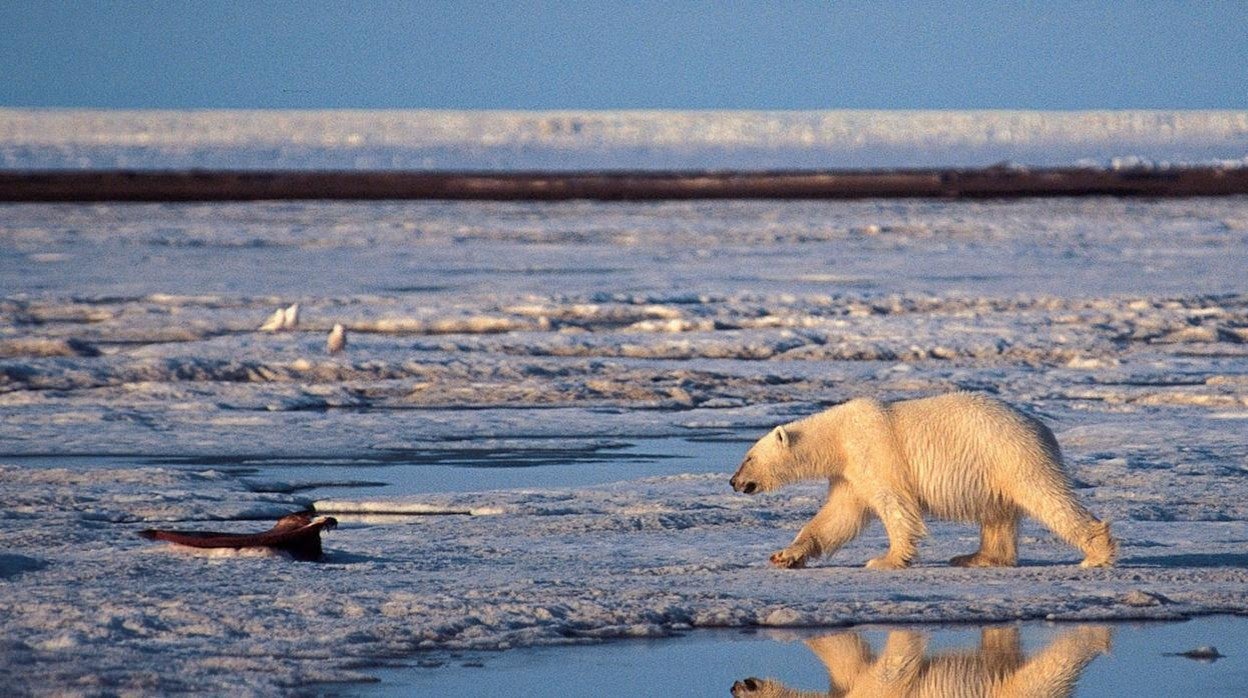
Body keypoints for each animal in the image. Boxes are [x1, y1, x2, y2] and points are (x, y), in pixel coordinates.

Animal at [728, 389, 1118, 571]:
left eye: (748, 457)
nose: (734, 481)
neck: (837, 436)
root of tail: (1042, 427)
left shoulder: (874, 452)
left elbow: (894, 505)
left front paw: (885, 560)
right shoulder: (849, 473)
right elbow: (838, 516)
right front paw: (784, 555)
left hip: (1010, 454)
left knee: (1047, 496)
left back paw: (1095, 554)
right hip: (995, 468)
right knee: (997, 514)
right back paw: (976, 557)